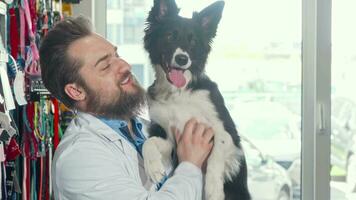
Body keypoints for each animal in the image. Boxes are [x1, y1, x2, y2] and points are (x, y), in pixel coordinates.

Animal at [142, 0, 250, 199]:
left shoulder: (227, 133)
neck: (179, 93)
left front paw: (214, 190)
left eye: (193, 41)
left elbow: (216, 157)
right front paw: (153, 167)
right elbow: (149, 142)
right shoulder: (171, 139)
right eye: (170, 36)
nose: (182, 59)